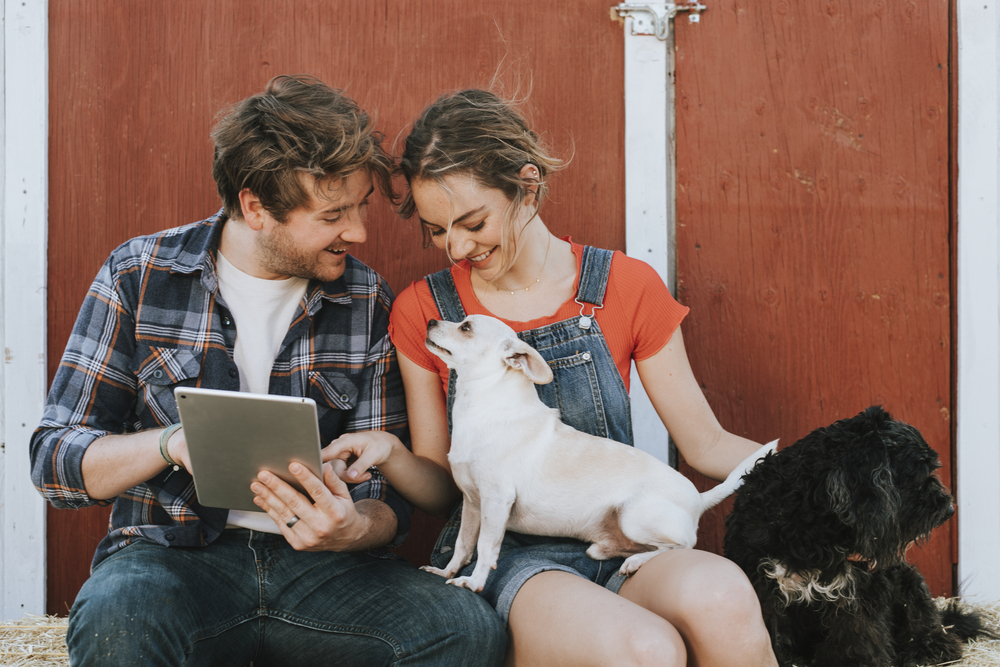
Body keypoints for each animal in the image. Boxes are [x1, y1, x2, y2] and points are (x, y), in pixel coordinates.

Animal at [418, 316, 776, 592]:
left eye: (466, 327)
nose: (432, 321)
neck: (481, 408)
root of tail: (698, 499)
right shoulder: (472, 503)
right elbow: (464, 544)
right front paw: (447, 572)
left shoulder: (495, 500)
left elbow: (485, 547)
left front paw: (474, 583)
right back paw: (609, 550)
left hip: (635, 515)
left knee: (679, 546)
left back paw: (636, 561)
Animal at [724, 408, 988, 667]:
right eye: (918, 475)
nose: (949, 510)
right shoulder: (764, 590)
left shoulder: (859, 591)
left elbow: (858, 636)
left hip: (909, 581)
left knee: (925, 620)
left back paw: (930, 649)